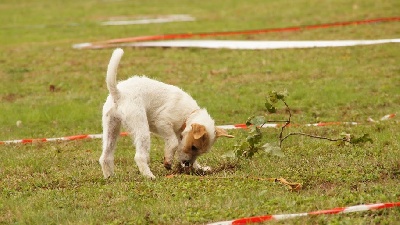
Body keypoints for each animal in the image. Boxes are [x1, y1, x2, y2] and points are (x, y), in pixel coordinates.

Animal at [99, 48, 234, 178]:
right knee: (139, 156)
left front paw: (200, 168)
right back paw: (149, 176)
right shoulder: (163, 123)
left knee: (105, 156)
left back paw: (110, 177)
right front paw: (168, 161)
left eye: (199, 151)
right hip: (141, 128)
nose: (187, 164)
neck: (188, 115)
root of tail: (119, 94)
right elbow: (173, 143)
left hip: (111, 128)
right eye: (193, 147)